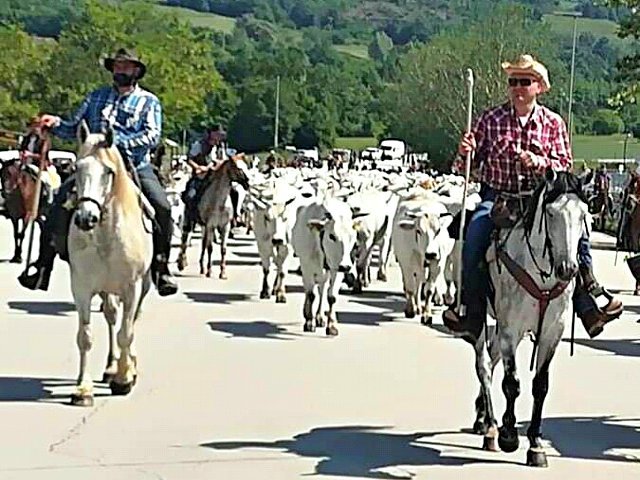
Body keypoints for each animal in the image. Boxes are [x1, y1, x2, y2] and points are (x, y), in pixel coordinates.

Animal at [68, 123, 153, 404]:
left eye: (108, 172)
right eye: (76, 167)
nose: (86, 218)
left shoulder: (132, 287)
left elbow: (126, 332)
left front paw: (124, 379)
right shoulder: (81, 288)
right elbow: (85, 337)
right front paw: (82, 389)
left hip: (142, 287)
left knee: (130, 321)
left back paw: (127, 367)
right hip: (106, 289)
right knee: (111, 316)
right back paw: (110, 366)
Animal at [292, 197, 358, 336]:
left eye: (352, 236)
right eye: (332, 236)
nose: (346, 267)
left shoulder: (336, 270)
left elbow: (331, 296)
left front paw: (331, 325)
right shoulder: (307, 268)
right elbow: (311, 295)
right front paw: (309, 322)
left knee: (322, 290)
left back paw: (319, 317)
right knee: (310, 290)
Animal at [472, 169, 588, 464]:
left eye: (583, 214)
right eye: (551, 213)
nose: (568, 269)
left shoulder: (551, 333)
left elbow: (541, 385)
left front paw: (536, 444)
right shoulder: (511, 330)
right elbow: (512, 383)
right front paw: (509, 436)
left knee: (491, 359)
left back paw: (483, 419)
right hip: (480, 319)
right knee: (483, 365)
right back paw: (491, 428)